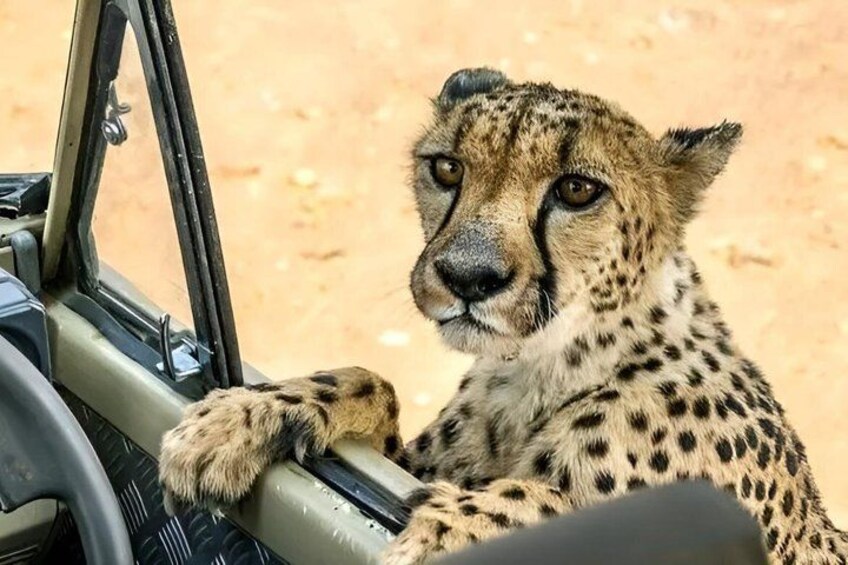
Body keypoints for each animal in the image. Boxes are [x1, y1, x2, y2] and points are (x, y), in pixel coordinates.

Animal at [158, 68, 847, 564]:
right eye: (447, 168)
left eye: (577, 189)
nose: (468, 277)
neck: (544, 366)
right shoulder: (413, 456)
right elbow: (373, 383)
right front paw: (245, 415)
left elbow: (552, 500)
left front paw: (445, 531)